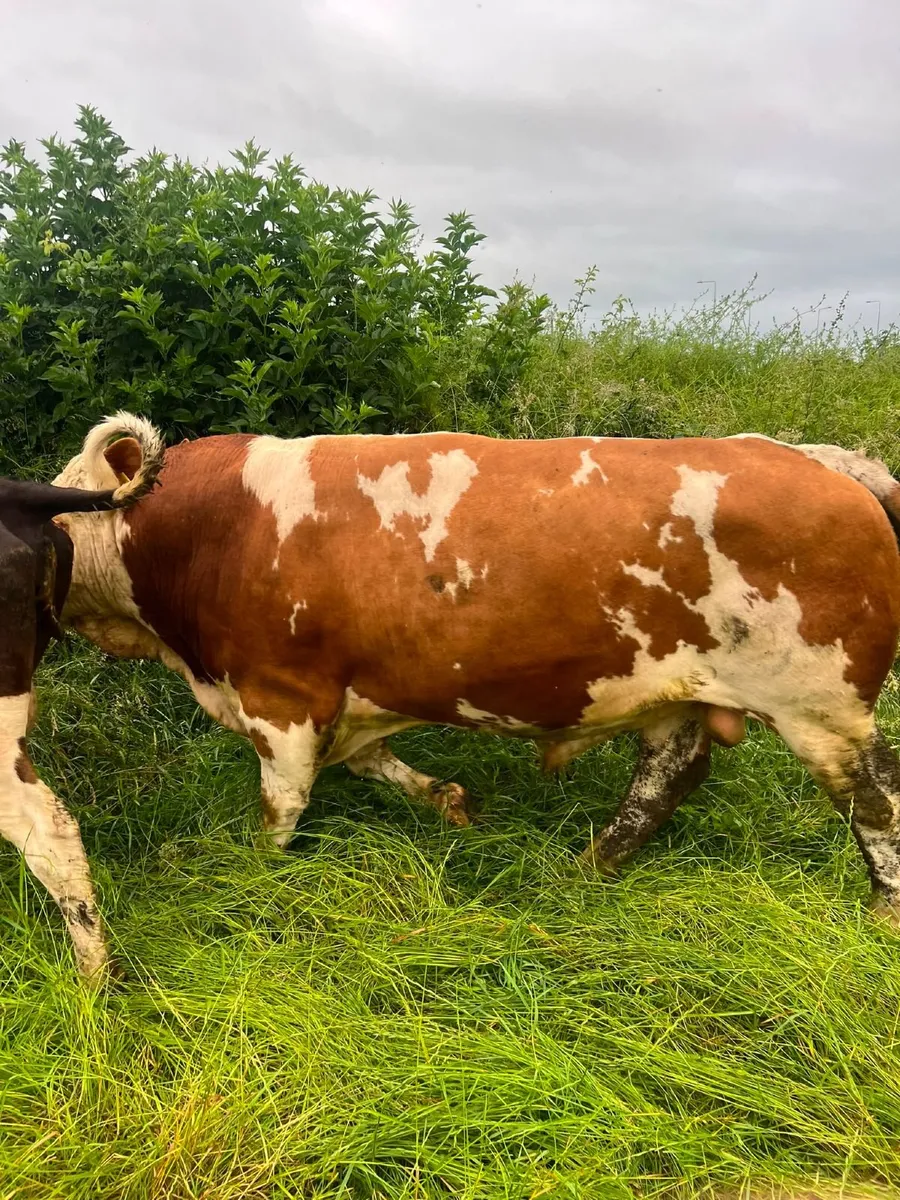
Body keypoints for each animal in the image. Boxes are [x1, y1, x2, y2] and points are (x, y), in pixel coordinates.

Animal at [52, 413, 900, 974]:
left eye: (54, 504)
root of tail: (822, 460)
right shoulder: (349, 697)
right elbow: (368, 761)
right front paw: (449, 799)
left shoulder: (283, 695)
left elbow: (281, 806)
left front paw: (255, 877)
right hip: (680, 693)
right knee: (665, 780)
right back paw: (590, 869)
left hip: (821, 706)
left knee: (876, 802)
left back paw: (883, 912)